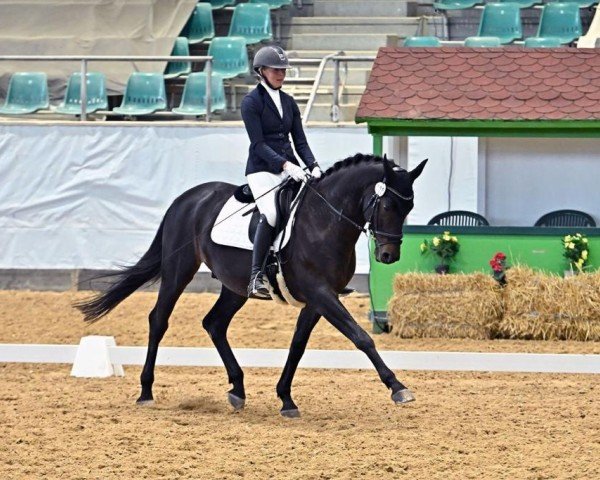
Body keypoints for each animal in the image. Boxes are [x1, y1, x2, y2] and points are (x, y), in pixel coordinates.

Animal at [76, 154, 426, 416]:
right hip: (178, 269)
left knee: (214, 323)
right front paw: (398, 388)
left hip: (234, 287)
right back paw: (146, 391)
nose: (388, 255)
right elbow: (361, 337)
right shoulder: (321, 294)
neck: (324, 221)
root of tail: (186, 198)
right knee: (159, 320)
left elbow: (298, 345)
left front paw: (286, 399)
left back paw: (238, 389)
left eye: (409, 207)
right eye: (387, 206)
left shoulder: (317, 300)